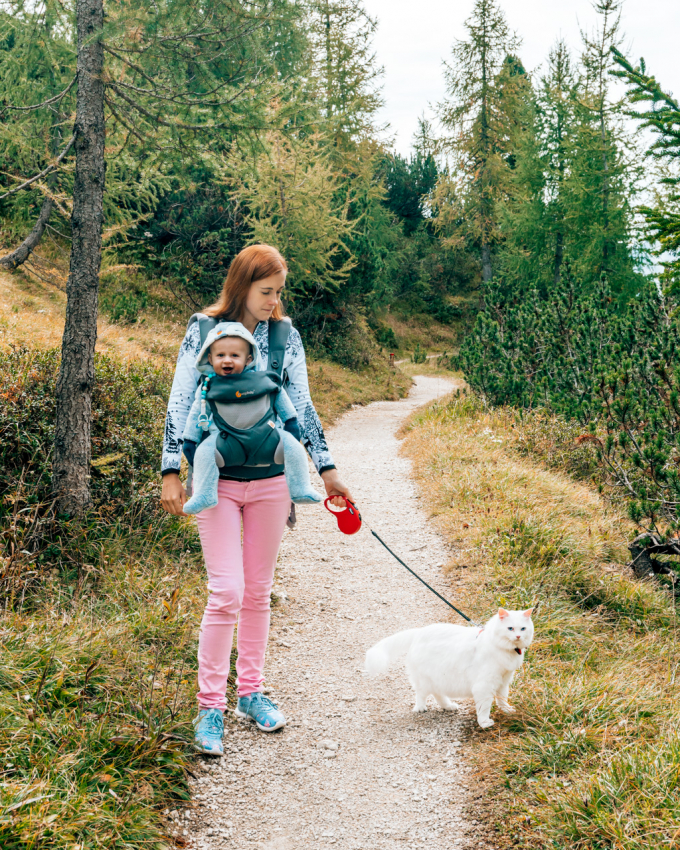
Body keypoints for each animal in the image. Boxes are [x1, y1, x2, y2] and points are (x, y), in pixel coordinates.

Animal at [364, 604, 532, 728]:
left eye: (523, 629)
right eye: (510, 628)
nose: (518, 636)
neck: (507, 650)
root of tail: (419, 632)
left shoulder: (503, 681)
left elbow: (502, 699)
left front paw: (508, 711)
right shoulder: (484, 685)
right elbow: (484, 707)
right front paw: (484, 723)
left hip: (439, 678)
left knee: (438, 694)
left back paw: (448, 706)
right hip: (425, 679)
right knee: (421, 694)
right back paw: (421, 708)